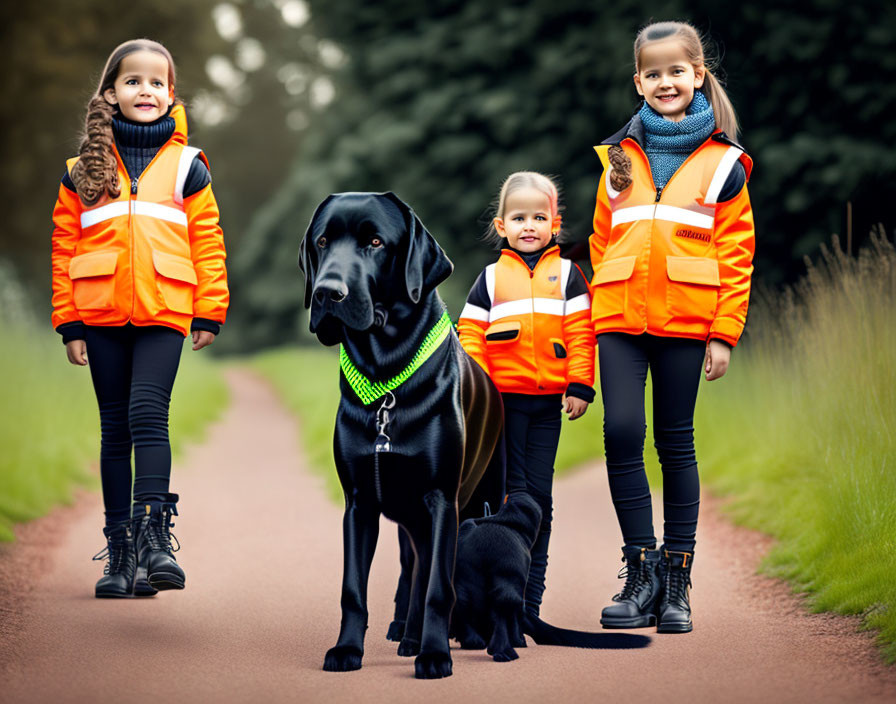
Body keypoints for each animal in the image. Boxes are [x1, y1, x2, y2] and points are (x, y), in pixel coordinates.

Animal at [300, 191, 508, 676]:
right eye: (322, 242)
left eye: (376, 242)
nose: (326, 292)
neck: (385, 378)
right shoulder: (359, 503)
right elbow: (354, 589)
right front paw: (347, 649)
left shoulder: (441, 500)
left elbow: (438, 587)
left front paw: (436, 655)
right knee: (413, 570)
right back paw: (410, 636)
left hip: (477, 503)